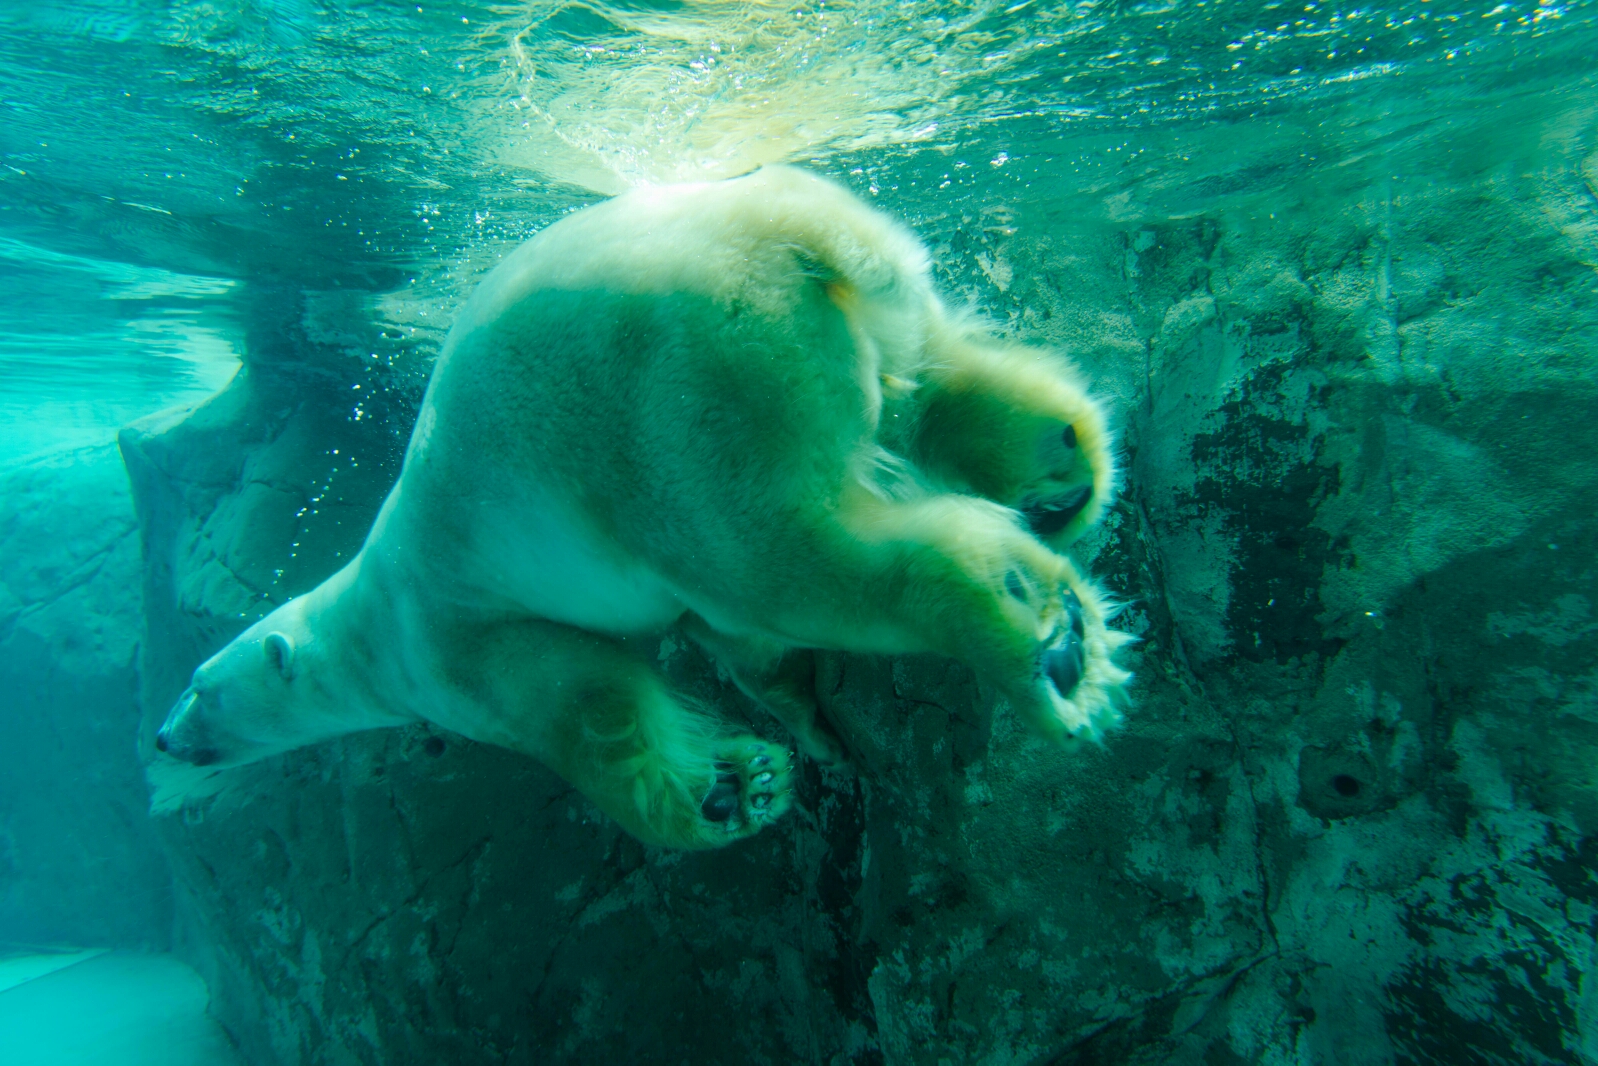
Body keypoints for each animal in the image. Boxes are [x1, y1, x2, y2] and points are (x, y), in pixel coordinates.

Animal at [155, 167, 1131, 850]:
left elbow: (588, 704)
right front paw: (810, 735)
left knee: (787, 560)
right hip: (849, 324)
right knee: (930, 384)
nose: (163, 739)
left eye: (199, 685)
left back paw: (1048, 644)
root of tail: (784, 226)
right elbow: (741, 651)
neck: (364, 620)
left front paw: (732, 791)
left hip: (679, 413)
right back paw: (1063, 478)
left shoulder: (458, 642)